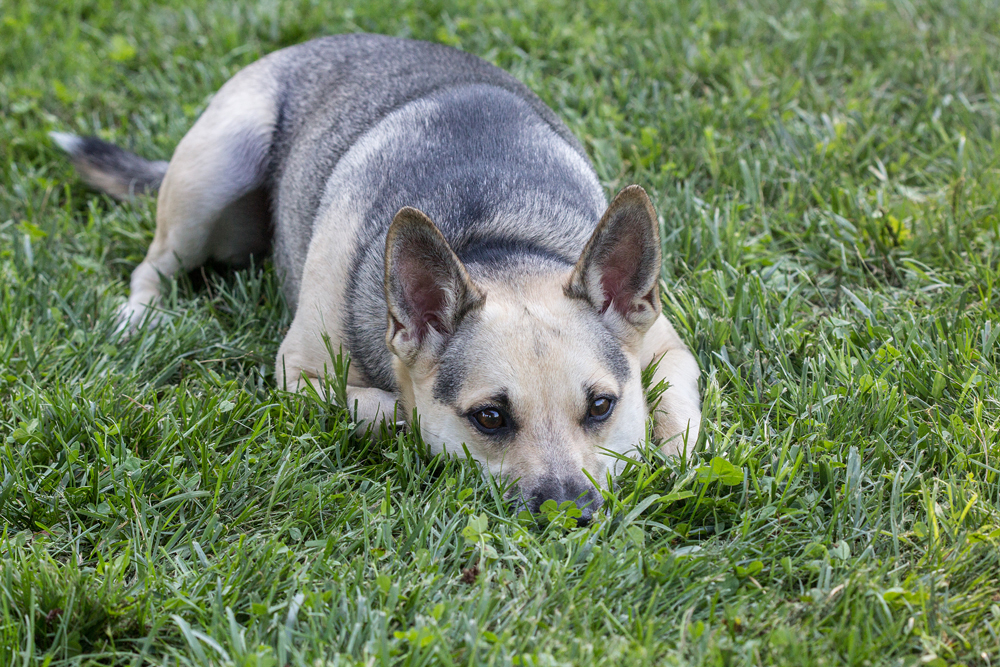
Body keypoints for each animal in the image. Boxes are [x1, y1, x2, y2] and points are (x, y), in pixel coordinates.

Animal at [50, 32, 700, 520]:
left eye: (601, 407)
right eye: (489, 418)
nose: (570, 512)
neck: (492, 240)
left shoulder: (666, 343)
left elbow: (678, 409)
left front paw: (672, 457)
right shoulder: (301, 375)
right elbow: (394, 410)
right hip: (213, 170)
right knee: (153, 263)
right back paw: (140, 317)